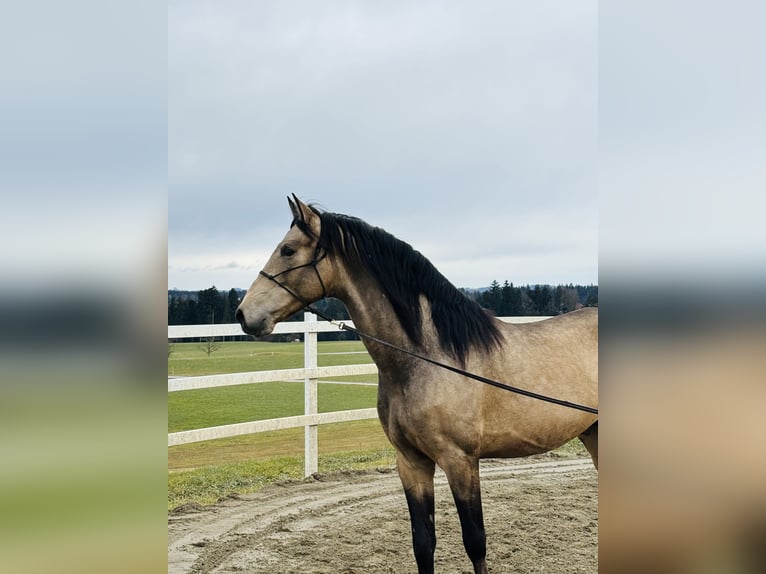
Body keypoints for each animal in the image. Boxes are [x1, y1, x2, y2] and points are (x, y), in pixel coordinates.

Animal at [236, 196, 600, 572]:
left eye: (288, 250)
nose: (244, 314)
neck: (428, 357)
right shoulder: (411, 462)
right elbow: (423, 543)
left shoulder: (460, 461)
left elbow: (475, 542)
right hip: (593, 434)